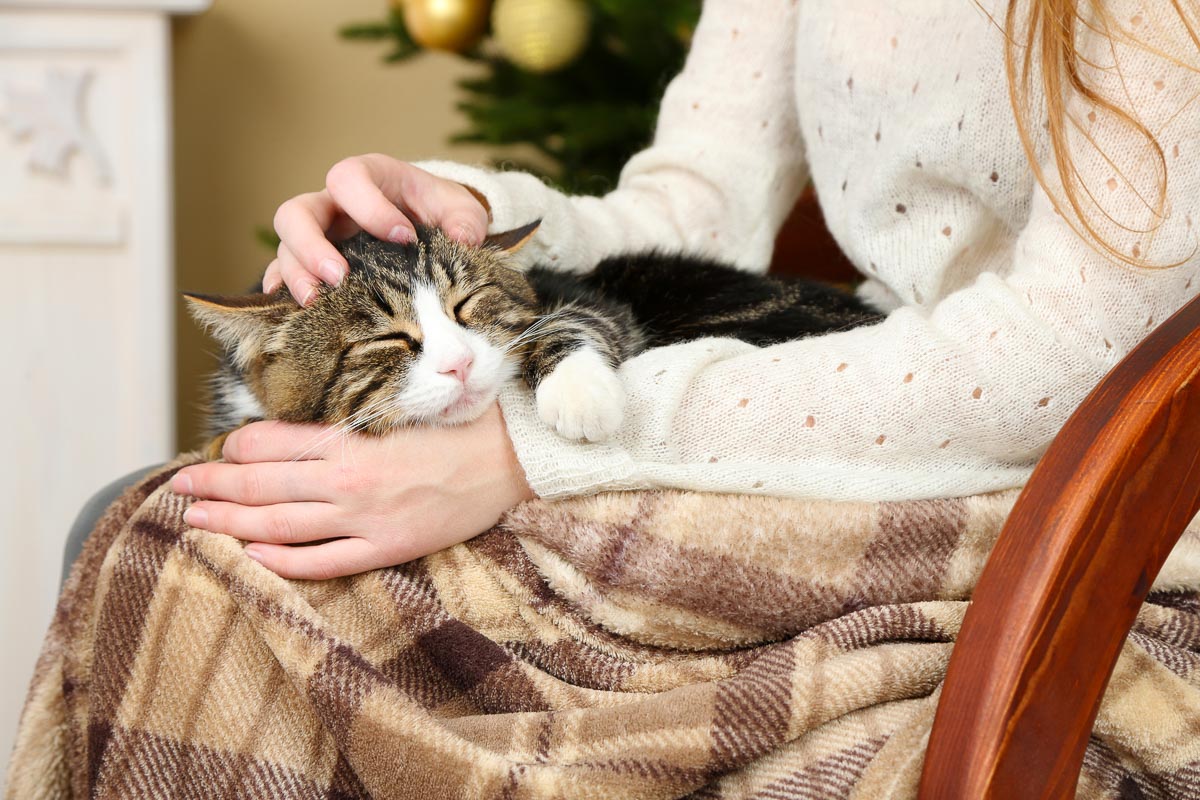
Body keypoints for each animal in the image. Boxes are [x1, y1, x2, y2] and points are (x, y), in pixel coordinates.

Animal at [187, 221, 883, 453]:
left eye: (467, 306)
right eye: (386, 340)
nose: (460, 364)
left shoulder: (592, 301)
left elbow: (573, 320)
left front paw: (579, 396)